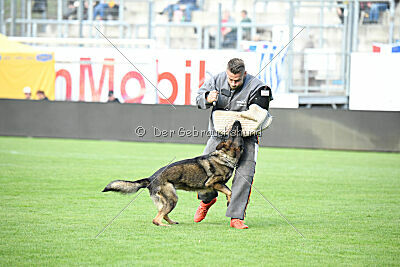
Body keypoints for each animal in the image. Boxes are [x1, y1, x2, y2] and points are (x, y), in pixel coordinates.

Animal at [101, 121, 242, 226]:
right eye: (234, 132)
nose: (237, 121)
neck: (224, 157)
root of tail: (151, 178)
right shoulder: (212, 183)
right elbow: (229, 191)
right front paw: (229, 201)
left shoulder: (215, 185)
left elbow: (227, 191)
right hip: (172, 198)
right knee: (156, 219)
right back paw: (165, 225)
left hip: (168, 200)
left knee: (162, 214)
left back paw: (172, 222)